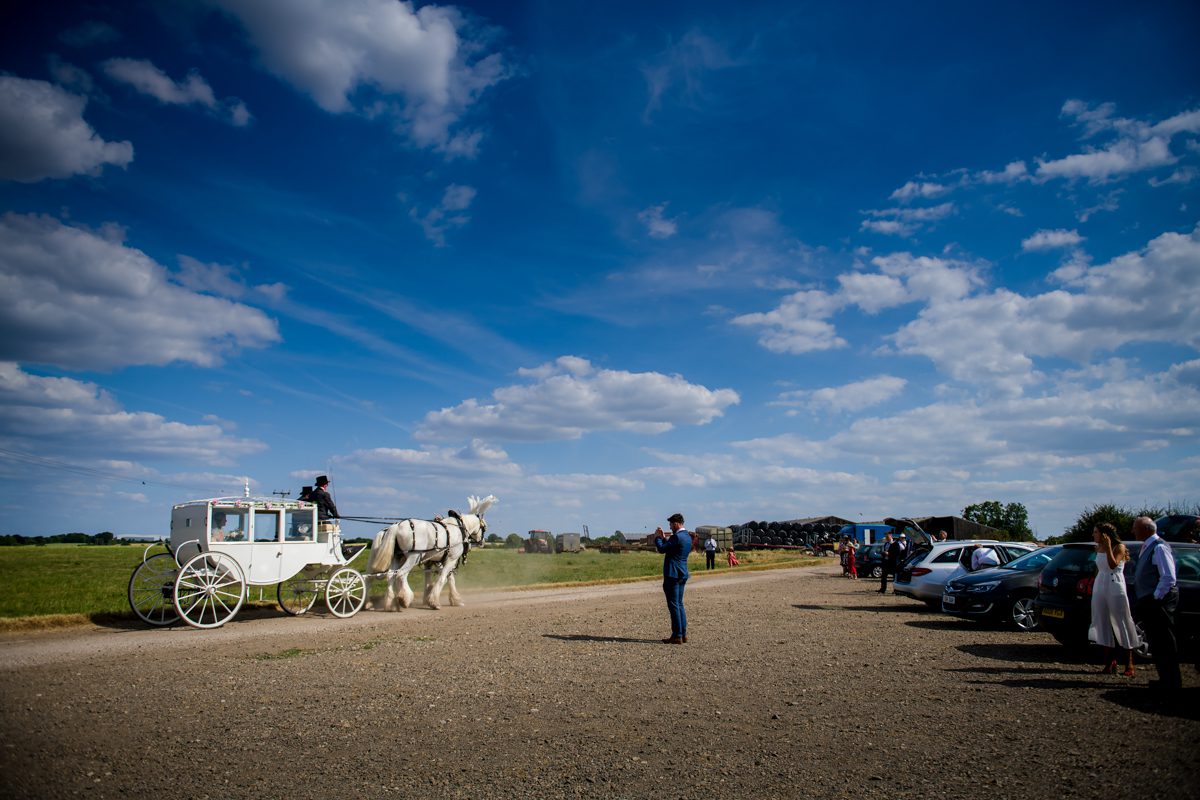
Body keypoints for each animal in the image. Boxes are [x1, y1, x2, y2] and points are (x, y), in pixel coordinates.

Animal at [364, 494, 496, 614]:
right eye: (484, 527)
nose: (482, 542)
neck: (459, 528)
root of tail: (397, 526)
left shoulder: (437, 560)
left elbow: (444, 579)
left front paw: (452, 599)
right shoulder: (451, 559)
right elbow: (443, 578)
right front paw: (434, 602)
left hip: (397, 557)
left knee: (389, 575)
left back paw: (389, 604)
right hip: (413, 556)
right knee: (400, 574)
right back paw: (404, 599)